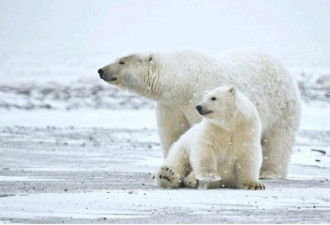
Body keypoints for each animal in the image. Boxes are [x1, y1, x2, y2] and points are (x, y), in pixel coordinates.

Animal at [98, 48, 302, 178]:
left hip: (282, 107)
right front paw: (170, 168)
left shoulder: (199, 97)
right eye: (117, 58)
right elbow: (173, 135)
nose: (101, 70)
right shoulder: (171, 106)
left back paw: (270, 173)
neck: (182, 83)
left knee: (278, 141)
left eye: (122, 61)